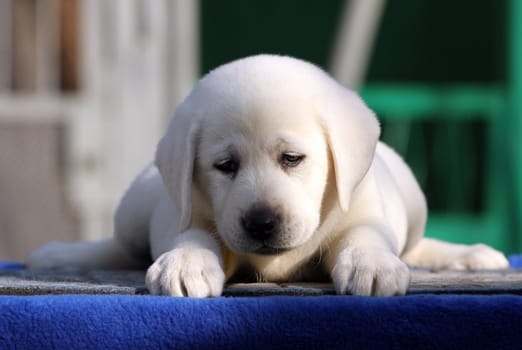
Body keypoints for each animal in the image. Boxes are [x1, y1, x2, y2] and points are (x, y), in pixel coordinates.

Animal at [25, 54, 508, 296]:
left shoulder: (366, 212)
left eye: (292, 158)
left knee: (415, 245)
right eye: (225, 166)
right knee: (122, 247)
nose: (261, 223)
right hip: (132, 209)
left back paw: (471, 254)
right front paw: (185, 264)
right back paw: (58, 253)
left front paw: (371, 266)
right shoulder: (182, 215)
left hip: (414, 200)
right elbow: (192, 236)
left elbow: (365, 236)